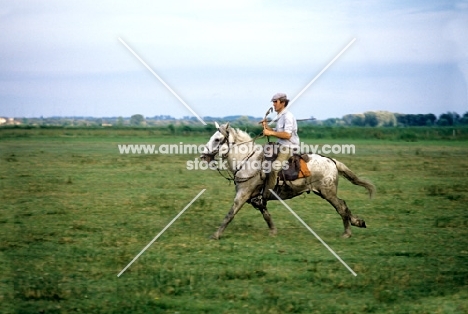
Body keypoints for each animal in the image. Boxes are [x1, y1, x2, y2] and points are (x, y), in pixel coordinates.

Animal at [199, 121, 374, 239]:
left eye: (217, 139)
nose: (203, 156)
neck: (246, 160)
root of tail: (331, 161)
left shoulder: (242, 195)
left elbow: (230, 214)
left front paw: (215, 235)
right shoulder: (255, 197)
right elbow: (265, 213)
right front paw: (273, 231)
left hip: (327, 192)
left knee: (341, 207)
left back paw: (348, 232)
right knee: (343, 206)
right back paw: (356, 223)